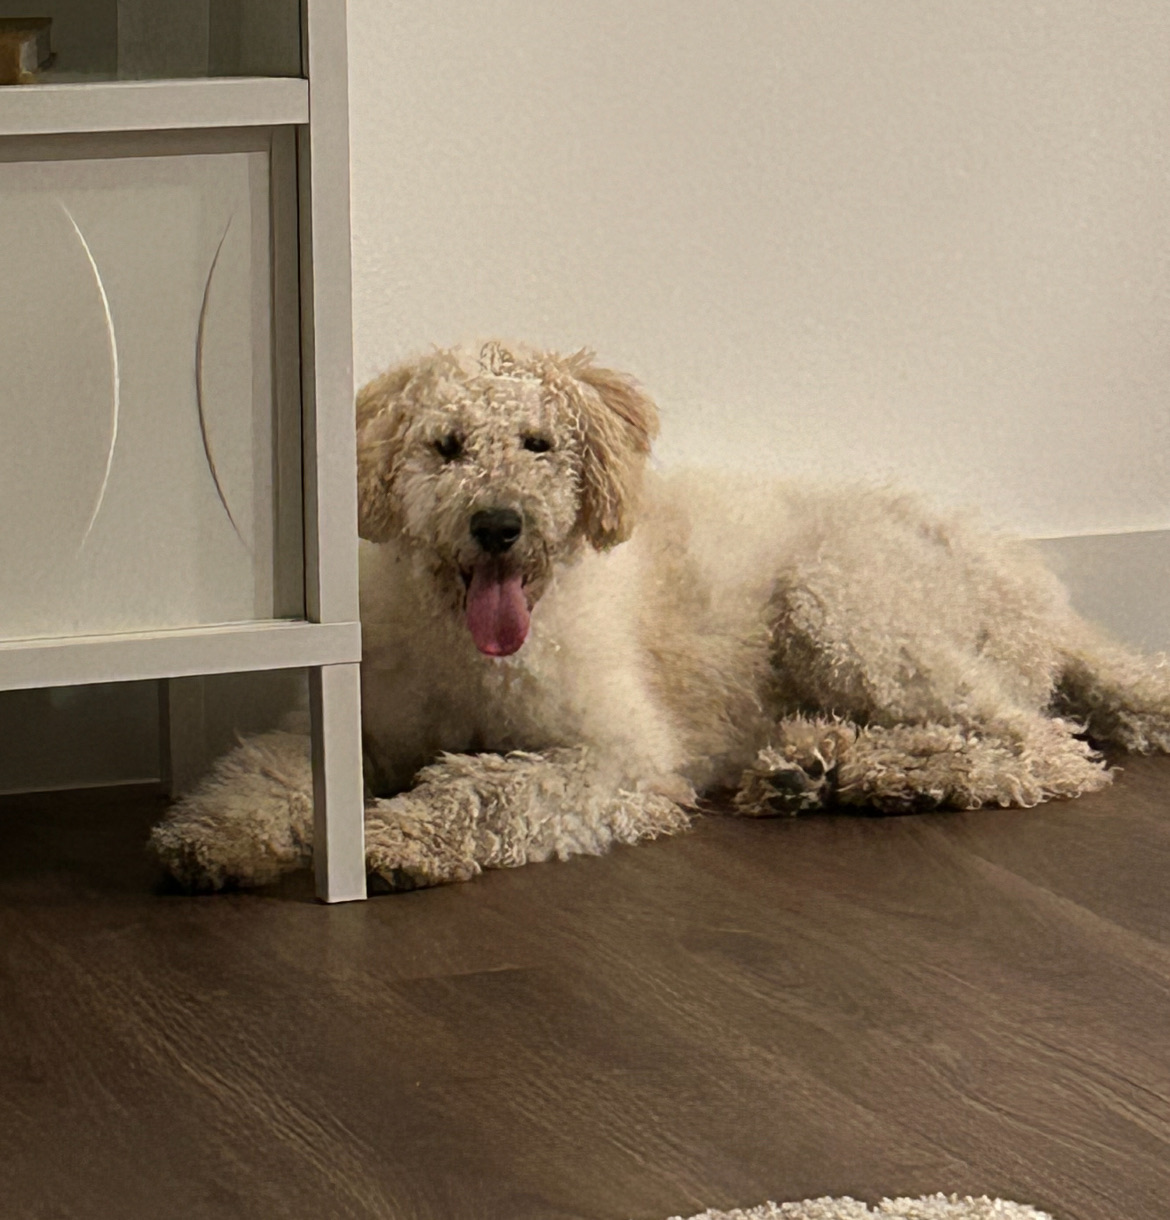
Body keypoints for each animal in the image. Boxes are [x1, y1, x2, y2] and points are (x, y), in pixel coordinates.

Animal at [151, 341, 1170, 891]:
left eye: (539, 443)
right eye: (446, 447)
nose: (498, 525)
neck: (468, 645)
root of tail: (1037, 581)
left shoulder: (621, 756)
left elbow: (490, 786)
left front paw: (394, 835)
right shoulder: (353, 722)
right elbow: (269, 769)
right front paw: (217, 836)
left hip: (844, 605)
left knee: (1039, 751)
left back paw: (868, 774)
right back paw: (820, 768)